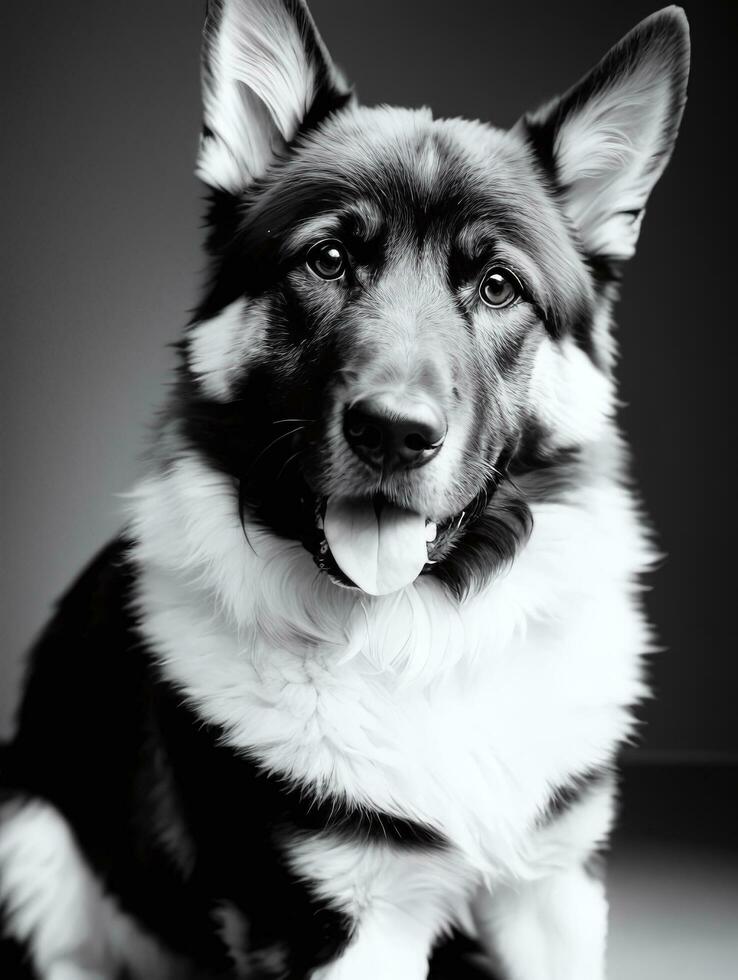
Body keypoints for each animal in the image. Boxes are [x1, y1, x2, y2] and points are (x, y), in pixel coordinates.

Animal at [1, 0, 688, 976]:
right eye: (327, 260)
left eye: (498, 286)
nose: (394, 434)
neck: (423, 641)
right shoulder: (342, 926)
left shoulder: (552, 892)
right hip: (30, 842)